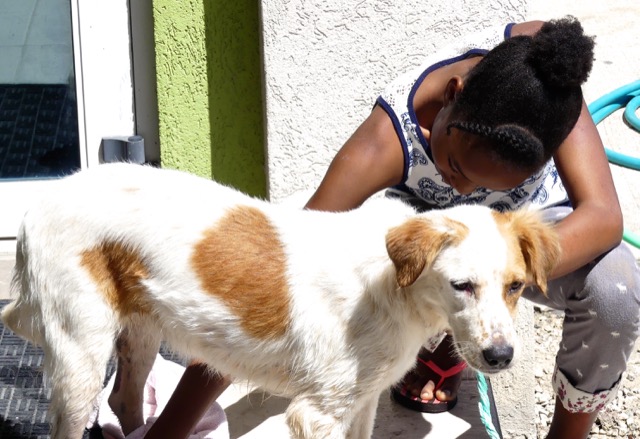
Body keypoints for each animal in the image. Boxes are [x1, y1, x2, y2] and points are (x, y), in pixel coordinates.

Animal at [1, 162, 560, 439]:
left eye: (515, 287)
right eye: (461, 285)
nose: (501, 357)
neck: (392, 289)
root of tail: (40, 200)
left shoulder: (361, 401)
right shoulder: (317, 414)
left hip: (140, 328)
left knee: (123, 400)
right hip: (80, 354)